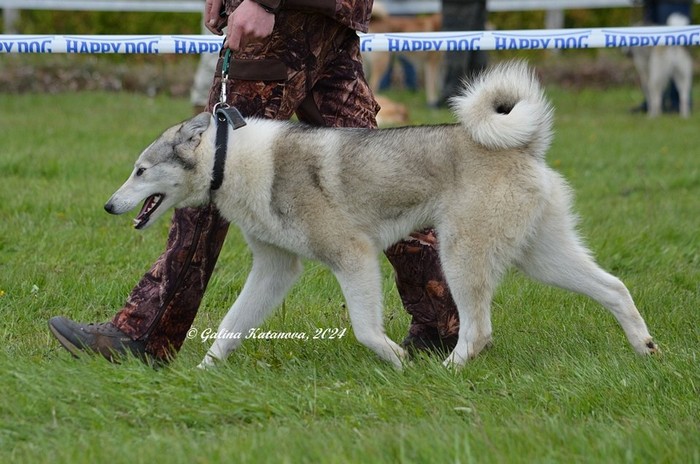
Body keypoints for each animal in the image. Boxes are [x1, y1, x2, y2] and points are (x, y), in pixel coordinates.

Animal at [105, 61, 658, 369]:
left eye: (140, 170)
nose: (109, 205)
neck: (231, 158)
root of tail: (525, 144)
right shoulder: (275, 270)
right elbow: (228, 328)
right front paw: (202, 374)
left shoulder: (354, 259)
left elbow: (366, 330)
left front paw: (396, 360)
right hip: (540, 257)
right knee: (614, 287)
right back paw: (645, 349)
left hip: (461, 257)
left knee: (478, 330)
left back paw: (448, 370)